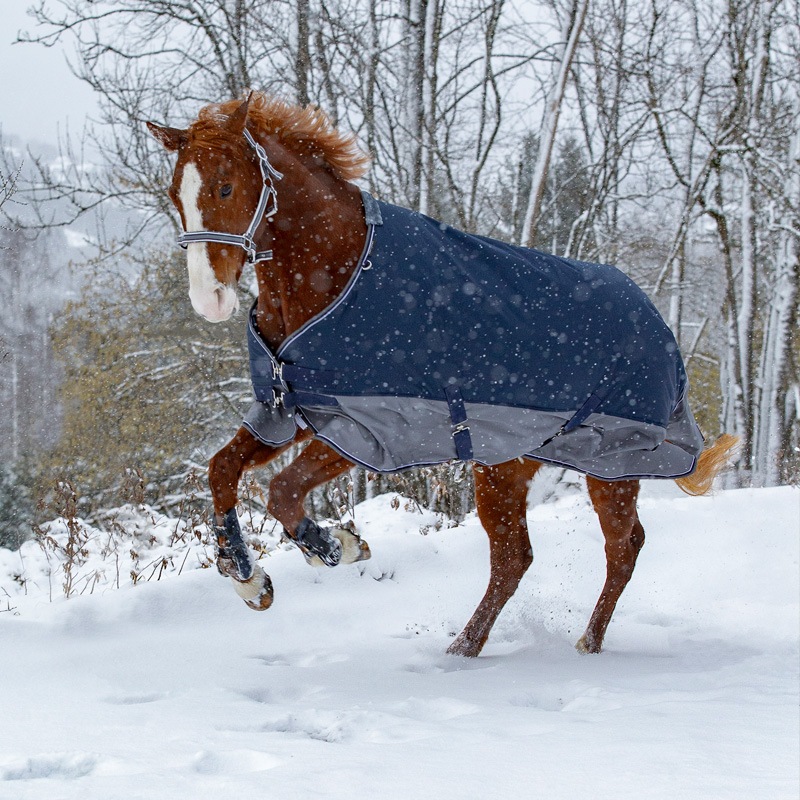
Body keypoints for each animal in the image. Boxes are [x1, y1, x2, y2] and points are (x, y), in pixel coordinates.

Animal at [147, 93, 737, 657]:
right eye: (176, 193)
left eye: (225, 187)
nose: (210, 300)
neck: (338, 274)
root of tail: (657, 320)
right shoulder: (289, 409)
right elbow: (222, 469)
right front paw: (248, 577)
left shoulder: (369, 426)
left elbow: (283, 492)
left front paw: (337, 547)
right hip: (505, 464)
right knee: (515, 559)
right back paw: (466, 646)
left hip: (612, 463)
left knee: (621, 548)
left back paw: (584, 643)